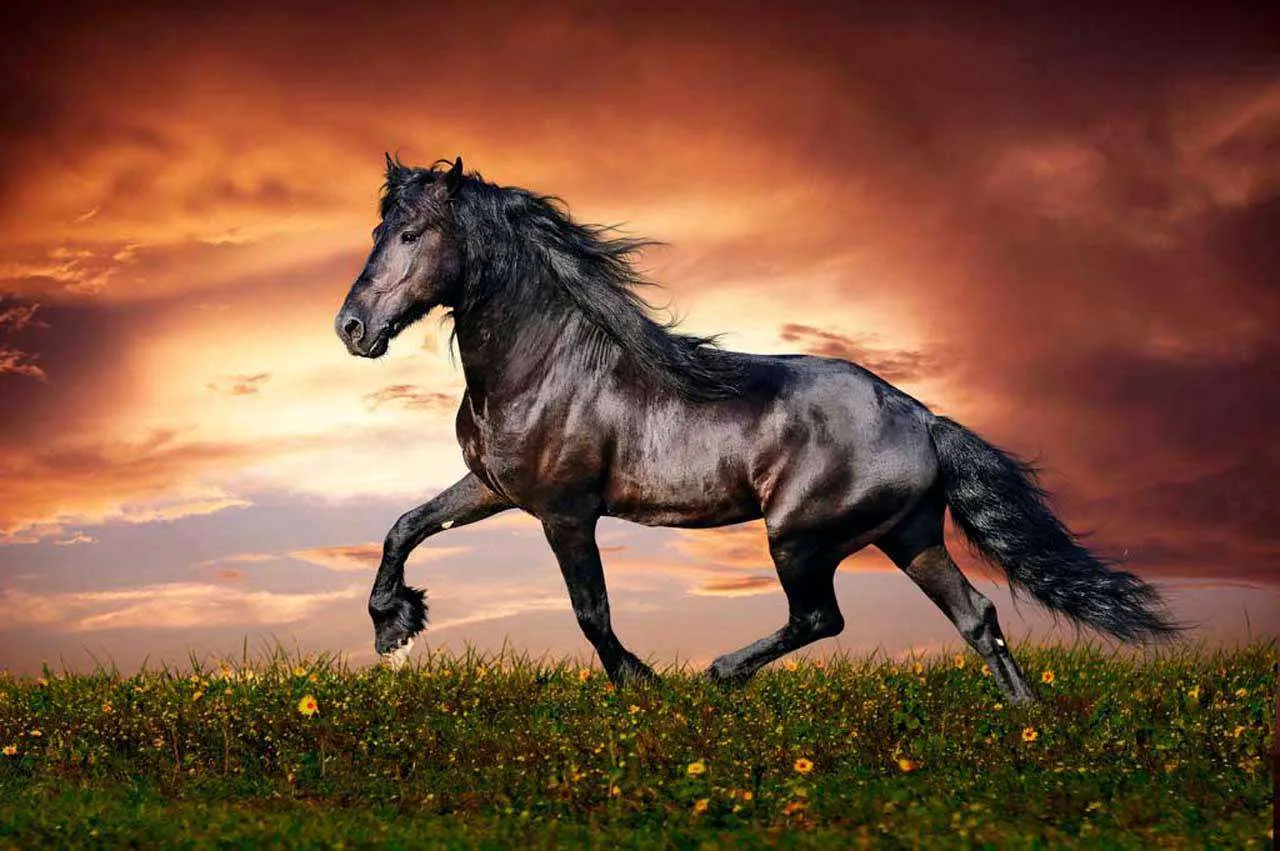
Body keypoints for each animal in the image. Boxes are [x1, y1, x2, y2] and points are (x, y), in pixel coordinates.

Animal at [334, 155, 1182, 702]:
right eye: (378, 231)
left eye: (412, 234)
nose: (351, 328)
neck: (546, 362)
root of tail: (922, 417)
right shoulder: (495, 486)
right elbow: (405, 525)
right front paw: (393, 626)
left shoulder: (565, 510)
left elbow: (591, 610)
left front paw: (641, 684)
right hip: (908, 535)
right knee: (976, 617)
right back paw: (1026, 723)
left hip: (800, 535)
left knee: (821, 616)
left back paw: (719, 673)